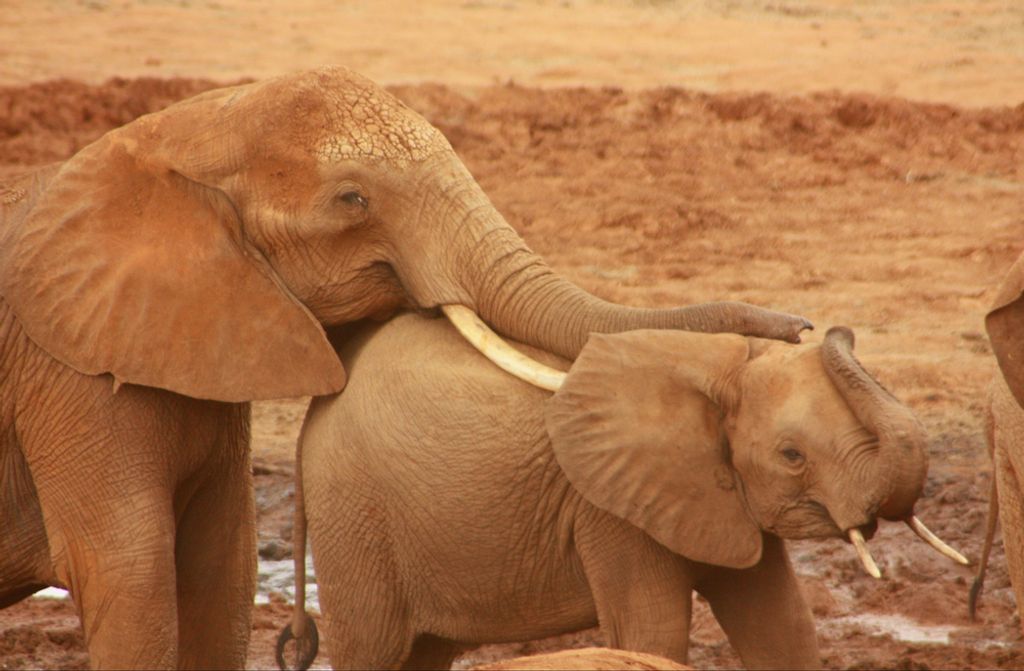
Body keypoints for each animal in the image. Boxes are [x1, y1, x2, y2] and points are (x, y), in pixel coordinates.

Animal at [0, 66, 819, 669]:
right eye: (352, 199)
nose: (804, 326)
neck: (173, 131)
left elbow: (221, 570)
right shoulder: (68, 374)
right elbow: (132, 571)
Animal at [279, 311, 965, 671]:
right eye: (792, 456)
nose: (819, 327)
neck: (716, 367)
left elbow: (782, 624)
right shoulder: (610, 511)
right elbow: (650, 633)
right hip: (353, 517)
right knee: (372, 648)